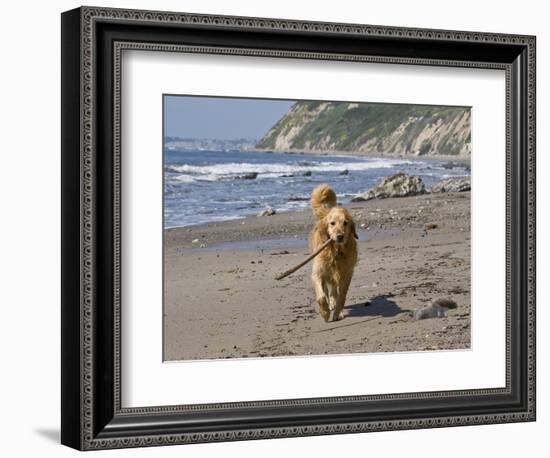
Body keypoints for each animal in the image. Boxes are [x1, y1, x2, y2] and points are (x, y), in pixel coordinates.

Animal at [308, 183, 360, 322]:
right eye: (332, 223)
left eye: (345, 223)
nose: (340, 236)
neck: (336, 252)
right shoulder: (318, 273)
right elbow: (321, 297)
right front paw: (325, 313)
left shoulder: (346, 274)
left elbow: (341, 296)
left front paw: (337, 312)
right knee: (327, 291)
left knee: (334, 292)